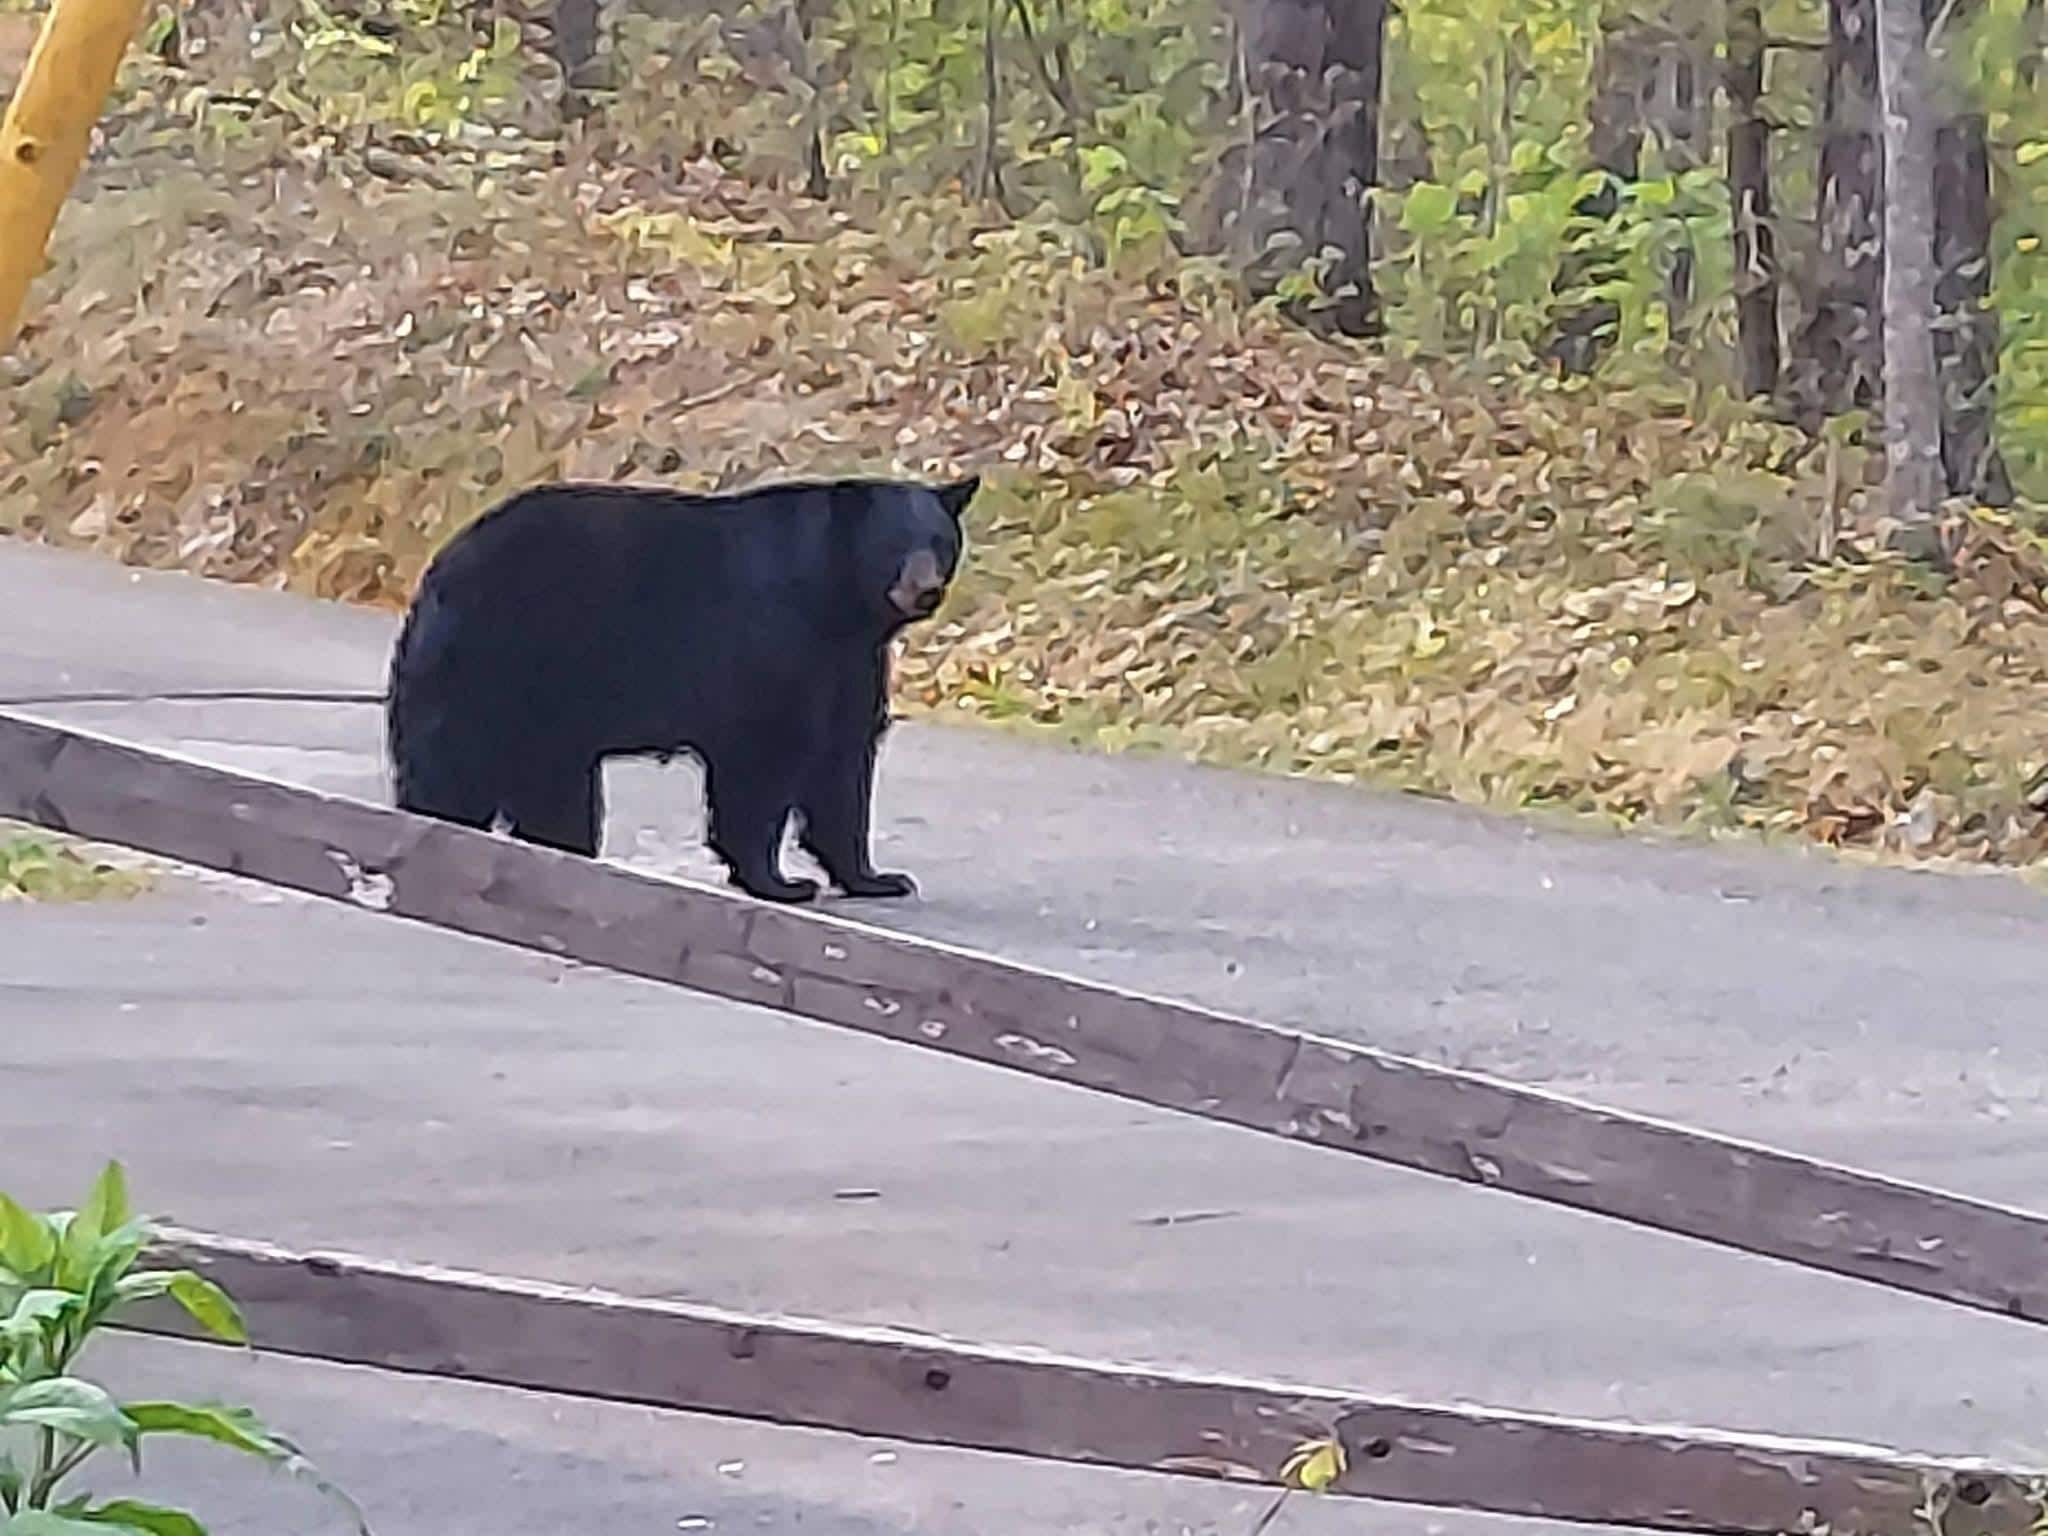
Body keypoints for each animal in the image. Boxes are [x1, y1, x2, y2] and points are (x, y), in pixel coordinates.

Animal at [385, 473, 977, 903]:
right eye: (893, 542)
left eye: (940, 542)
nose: (925, 590)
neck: (835, 603)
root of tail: (439, 568)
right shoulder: (771, 639)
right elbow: (763, 760)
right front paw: (780, 883)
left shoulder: (843, 664)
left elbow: (840, 765)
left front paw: (876, 878)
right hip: (494, 667)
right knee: (455, 768)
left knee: (553, 789)